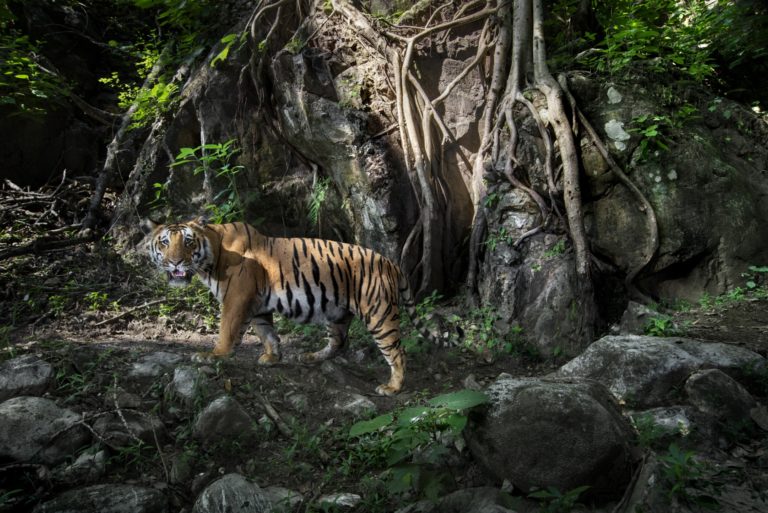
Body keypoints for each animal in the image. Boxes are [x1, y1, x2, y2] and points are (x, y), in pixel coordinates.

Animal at [144, 216, 451, 395]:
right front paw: (272, 357)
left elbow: (227, 331)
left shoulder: (236, 299)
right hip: (336, 312)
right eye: (164, 242)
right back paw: (312, 356)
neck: (213, 254)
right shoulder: (257, 305)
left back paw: (392, 387)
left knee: (397, 352)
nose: (174, 262)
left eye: (187, 241)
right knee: (340, 341)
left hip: (378, 314)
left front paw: (212, 355)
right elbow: (267, 333)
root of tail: (391, 263)